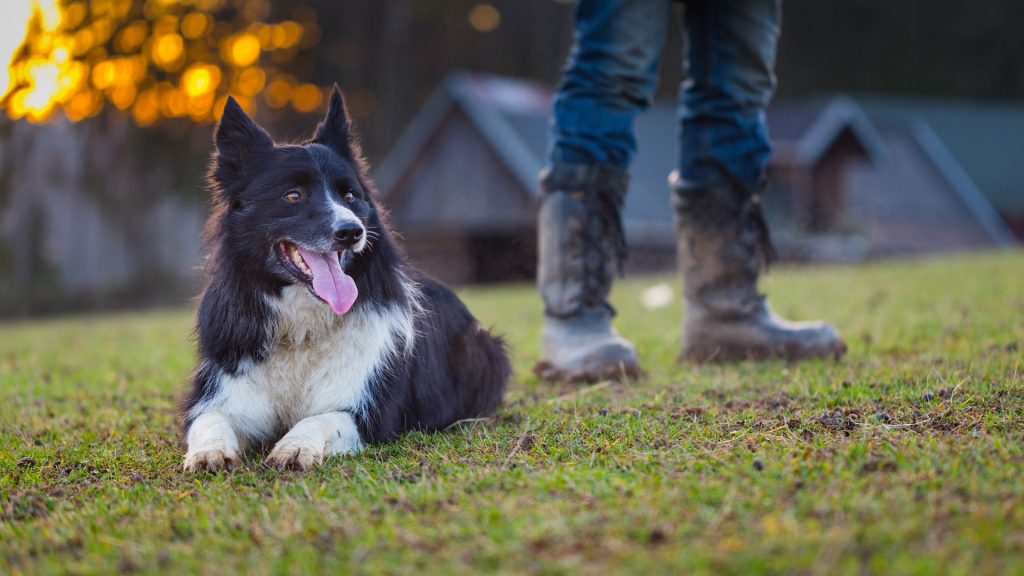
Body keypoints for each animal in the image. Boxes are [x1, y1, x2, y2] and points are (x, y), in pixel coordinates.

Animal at [184, 86, 512, 471]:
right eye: (293, 195)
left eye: (350, 195)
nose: (352, 232)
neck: (302, 330)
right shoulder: (218, 394)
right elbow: (210, 421)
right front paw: (209, 452)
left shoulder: (370, 411)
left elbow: (321, 419)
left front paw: (295, 446)